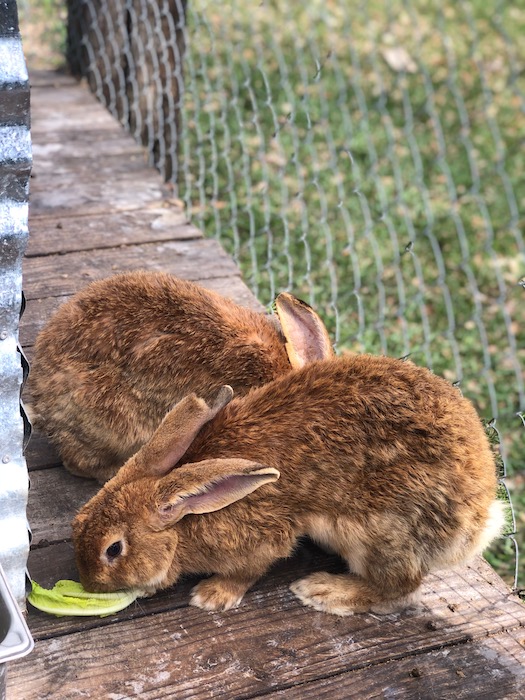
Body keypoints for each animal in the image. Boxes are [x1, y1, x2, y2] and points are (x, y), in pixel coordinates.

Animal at [71, 344, 502, 612]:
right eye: (77, 525)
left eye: (114, 549)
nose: (89, 584)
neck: (186, 518)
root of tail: (478, 519)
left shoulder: (261, 538)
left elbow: (249, 569)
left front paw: (212, 595)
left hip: (381, 531)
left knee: (399, 587)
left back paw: (324, 591)